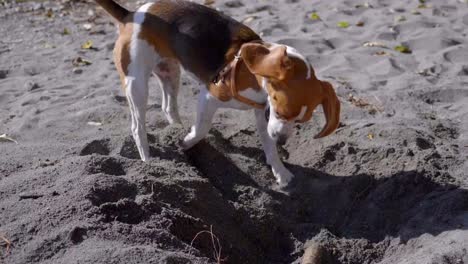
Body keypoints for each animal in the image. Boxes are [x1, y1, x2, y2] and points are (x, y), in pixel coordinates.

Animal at [94, 0, 340, 187]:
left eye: (300, 121)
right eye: (281, 111)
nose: (282, 140)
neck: (253, 74)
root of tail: (131, 14)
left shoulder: (263, 114)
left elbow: (269, 146)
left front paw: (280, 171)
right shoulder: (209, 96)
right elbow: (202, 128)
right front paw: (186, 142)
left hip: (170, 72)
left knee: (168, 107)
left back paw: (176, 129)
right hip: (136, 85)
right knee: (137, 127)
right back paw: (149, 161)